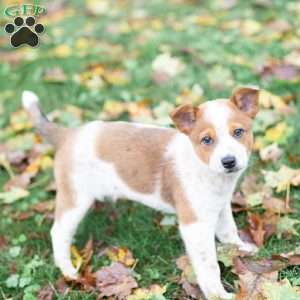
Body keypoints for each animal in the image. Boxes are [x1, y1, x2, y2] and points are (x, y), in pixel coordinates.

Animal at [22, 87, 258, 300]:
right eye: (207, 140)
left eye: (238, 132)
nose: (229, 161)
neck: (204, 167)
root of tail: (69, 134)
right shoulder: (195, 225)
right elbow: (209, 266)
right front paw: (218, 294)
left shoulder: (220, 205)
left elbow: (229, 231)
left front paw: (242, 249)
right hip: (75, 199)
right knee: (59, 232)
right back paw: (69, 271)